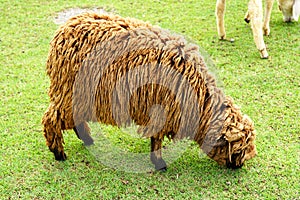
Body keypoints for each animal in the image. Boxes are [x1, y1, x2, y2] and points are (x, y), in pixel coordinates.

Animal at [42, 12, 258, 170]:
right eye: (238, 149)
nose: (238, 167)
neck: (201, 100)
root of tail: (64, 30)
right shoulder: (163, 110)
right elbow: (157, 139)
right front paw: (160, 164)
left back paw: (87, 140)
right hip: (70, 91)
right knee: (51, 118)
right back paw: (59, 153)